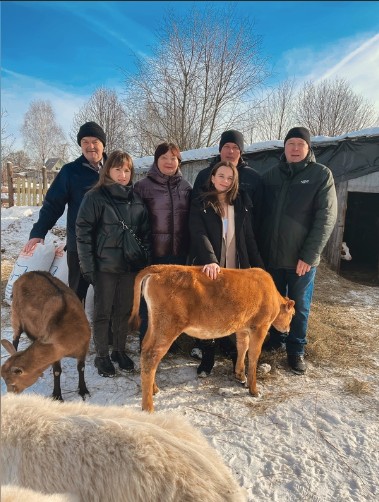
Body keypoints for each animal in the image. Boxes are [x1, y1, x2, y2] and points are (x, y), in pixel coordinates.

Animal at [1, 270, 91, 400]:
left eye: (12, 383)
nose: (10, 395)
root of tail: (27, 274)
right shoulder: (56, 352)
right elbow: (57, 371)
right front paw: (57, 395)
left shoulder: (84, 346)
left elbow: (81, 367)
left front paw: (84, 390)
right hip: (16, 315)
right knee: (15, 338)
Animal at [129, 264, 296, 410]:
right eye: (293, 315)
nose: (288, 330)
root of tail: (161, 267)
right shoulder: (260, 327)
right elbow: (254, 355)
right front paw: (253, 389)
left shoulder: (242, 328)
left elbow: (242, 348)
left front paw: (240, 375)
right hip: (167, 327)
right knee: (150, 357)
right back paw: (148, 407)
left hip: (155, 326)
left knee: (145, 349)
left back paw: (154, 389)